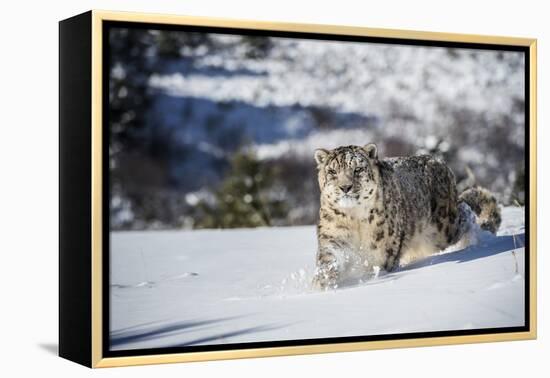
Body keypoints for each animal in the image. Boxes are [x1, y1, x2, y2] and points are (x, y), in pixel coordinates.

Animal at [312, 142, 502, 290]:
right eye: (332, 172)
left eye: (358, 169)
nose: (345, 187)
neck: (354, 218)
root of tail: (440, 162)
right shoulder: (334, 237)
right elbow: (328, 260)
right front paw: (321, 283)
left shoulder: (383, 251)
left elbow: (376, 267)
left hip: (443, 231)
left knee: (465, 213)